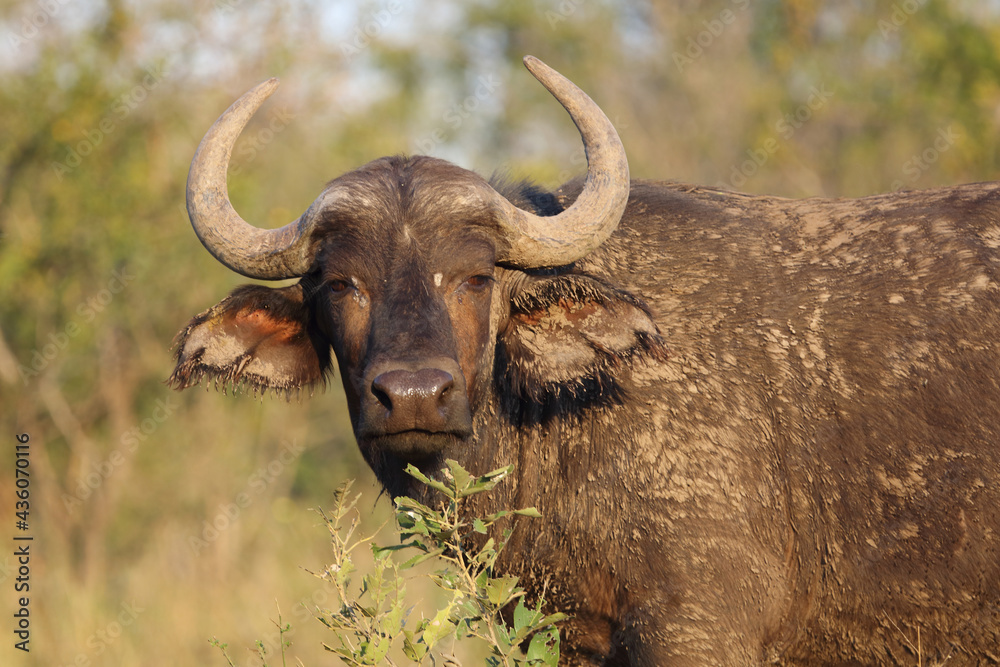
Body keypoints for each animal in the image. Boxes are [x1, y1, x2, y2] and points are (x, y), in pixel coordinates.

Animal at [171, 57, 1000, 664]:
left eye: (476, 278)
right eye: (342, 284)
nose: (412, 394)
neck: (553, 417)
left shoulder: (699, 625)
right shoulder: (564, 635)